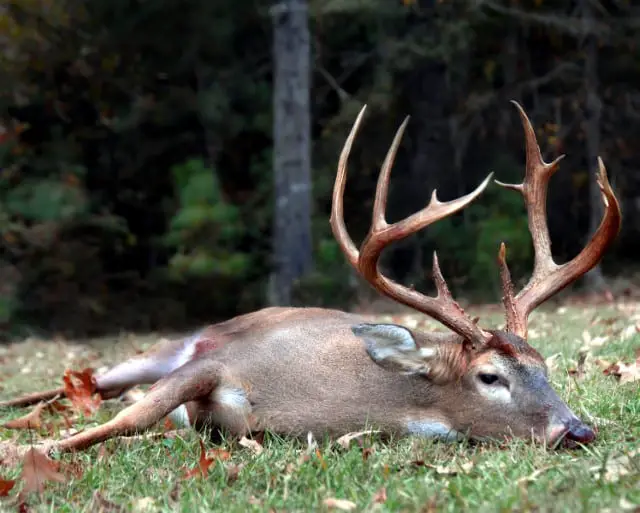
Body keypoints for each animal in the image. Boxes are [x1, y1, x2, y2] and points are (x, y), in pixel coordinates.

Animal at [0, 101, 620, 452]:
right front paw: (24, 456)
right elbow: (131, 419)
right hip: (169, 345)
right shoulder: (214, 362)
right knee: (90, 387)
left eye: (545, 368)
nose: (577, 430)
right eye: (490, 377)